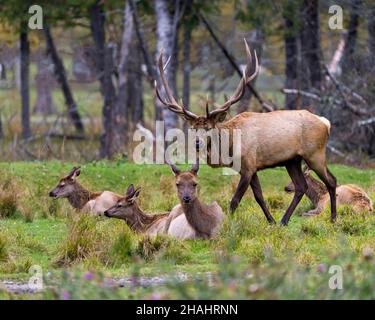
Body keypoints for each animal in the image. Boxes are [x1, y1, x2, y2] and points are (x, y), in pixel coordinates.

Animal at [154, 38, 340, 226]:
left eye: (209, 127)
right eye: (193, 128)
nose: (197, 143)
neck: (229, 148)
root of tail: (325, 123)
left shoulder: (248, 166)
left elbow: (235, 200)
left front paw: (226, 224)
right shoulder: (253, 168)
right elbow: (259, 197)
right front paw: (271, 221)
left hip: (315, 153)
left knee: (331, 180)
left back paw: (332, 218)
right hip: (292, 160)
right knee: (301, 186)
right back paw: (284, 220)